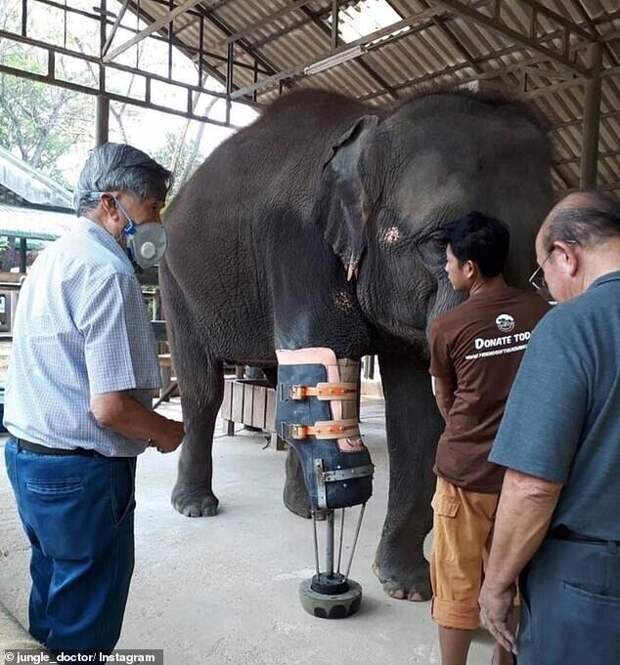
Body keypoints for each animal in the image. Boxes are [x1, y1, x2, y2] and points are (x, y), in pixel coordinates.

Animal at [160, 85, 552, 600]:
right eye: (439, 243)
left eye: (542, 260)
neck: (373, 127)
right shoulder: (298, 243)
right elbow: (324, 382)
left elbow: (416, 417)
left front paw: (406, 587)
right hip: (174, 280)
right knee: (204, 388)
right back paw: (197, 506)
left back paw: (303, 509)